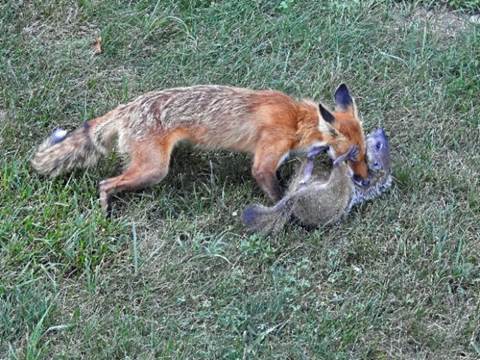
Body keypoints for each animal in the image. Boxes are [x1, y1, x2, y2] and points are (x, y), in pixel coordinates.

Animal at [31, 84, 368, 211]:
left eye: (365, 153)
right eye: (353, 155)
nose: (365, 179)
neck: (297, 120)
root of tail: (128, 108)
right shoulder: (265, 158)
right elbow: (275, 191)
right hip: (152, 170)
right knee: (105, 183)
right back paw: (105, 209)